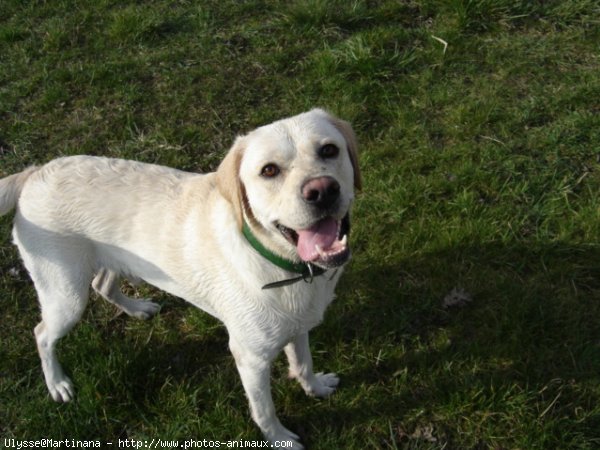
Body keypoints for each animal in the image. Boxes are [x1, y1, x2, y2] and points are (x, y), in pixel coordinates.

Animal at [0, 108, 358, 446]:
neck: (285, 266)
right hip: (66, 296)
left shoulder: (299, 326)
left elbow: (303, 364)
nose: (323, 190)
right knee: (42, 334)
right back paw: (57, 383)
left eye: (329, 150)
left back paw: (137, 309)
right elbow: (265, 410)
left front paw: (316, 387)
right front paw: (280, 439)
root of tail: (33, 174)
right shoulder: (250, 358)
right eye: (269, 170)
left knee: (102, 285)